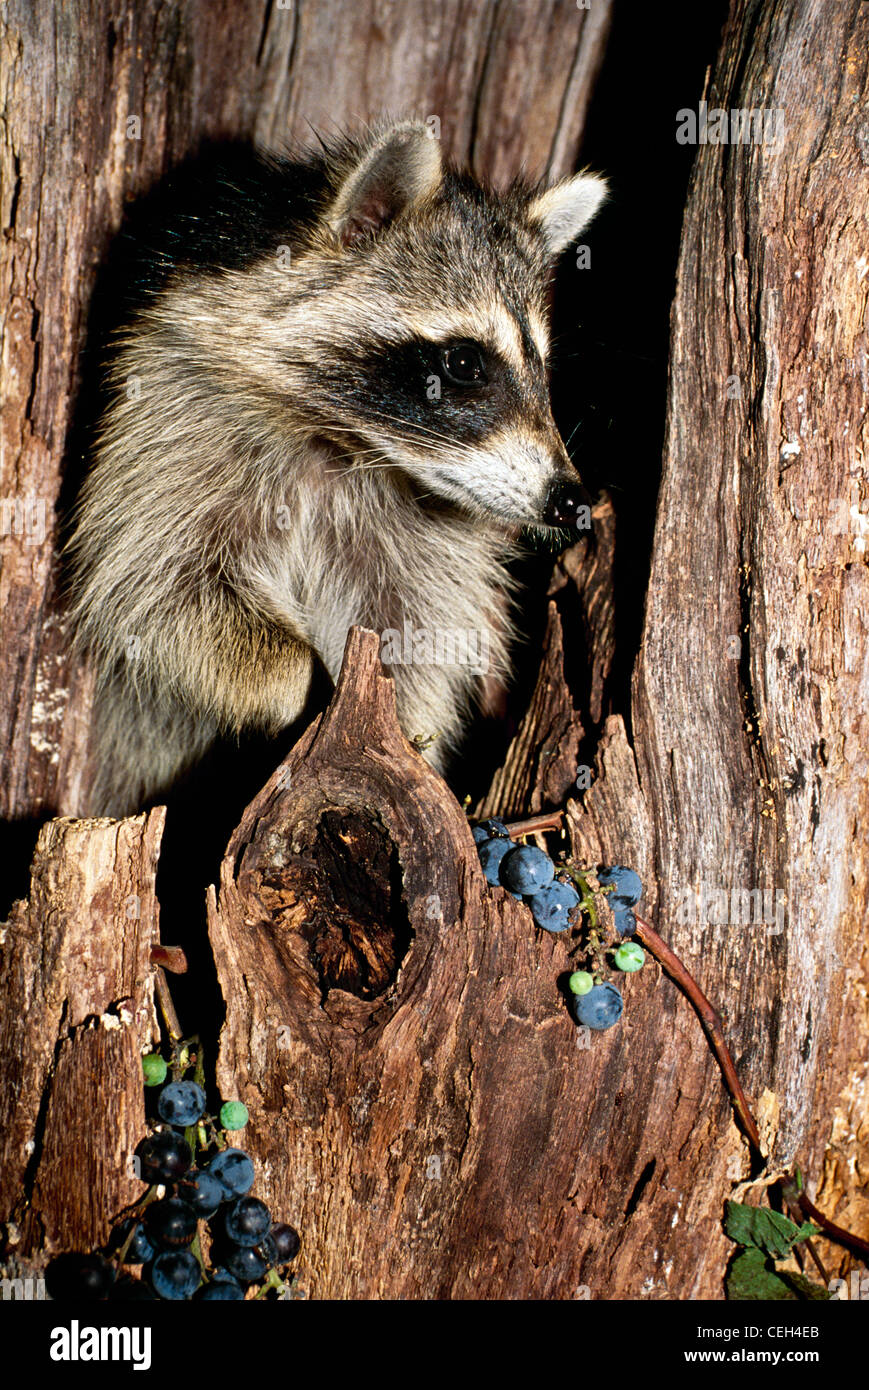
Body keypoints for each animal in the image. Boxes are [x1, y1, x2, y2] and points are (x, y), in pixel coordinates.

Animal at [66, 122, 603, 811]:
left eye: (543, 369)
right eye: (464, 363)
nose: (570, 500)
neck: (345, 444)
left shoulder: (423, 543)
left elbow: (419, 631)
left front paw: (407, 730)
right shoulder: (174, 424)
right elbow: (156, 588)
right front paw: (295, 679)